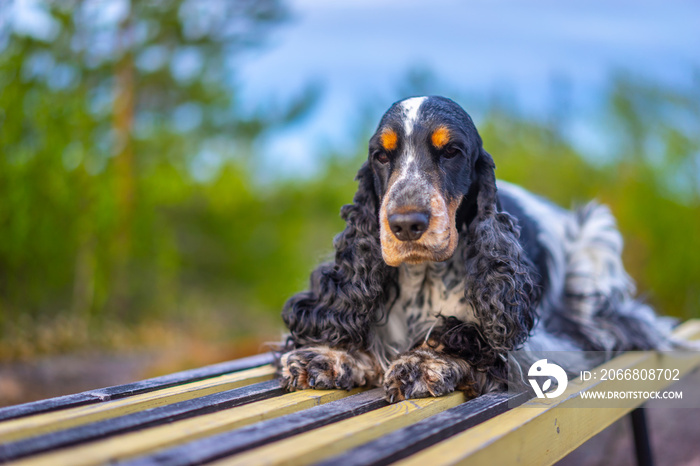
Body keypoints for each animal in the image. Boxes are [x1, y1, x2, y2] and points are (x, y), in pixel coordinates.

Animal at [276, 94, 676, 400]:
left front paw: (423, 363)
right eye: (381, 155)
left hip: (596, 240)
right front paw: (327, 355)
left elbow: (468, 338)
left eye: (451, 151)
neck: (425, 278)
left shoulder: (538, 344)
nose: (405, 224)